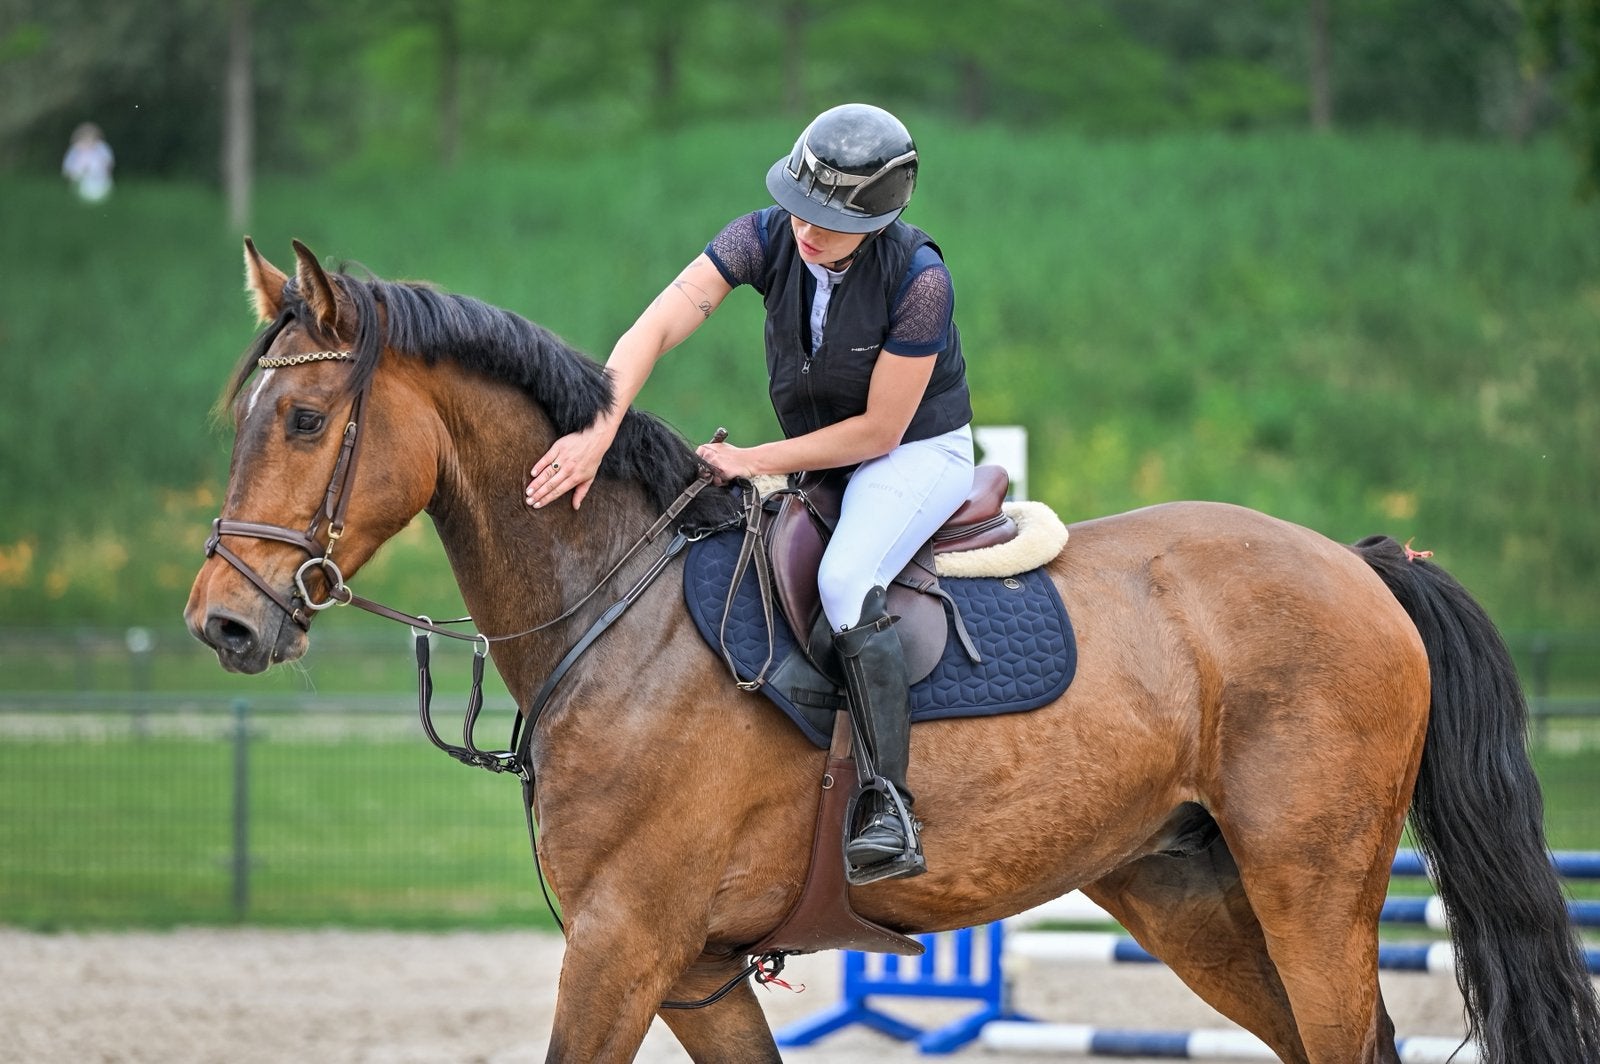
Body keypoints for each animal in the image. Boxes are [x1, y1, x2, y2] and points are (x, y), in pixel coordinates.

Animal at [186, 239, 1600, 1064]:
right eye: (244, 414)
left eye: (303, 417)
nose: (224, 622)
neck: (614, 609)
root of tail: (1359, 563)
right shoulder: (694, 973)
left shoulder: (620, 946)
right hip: (1189, 892)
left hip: (1310, 887)